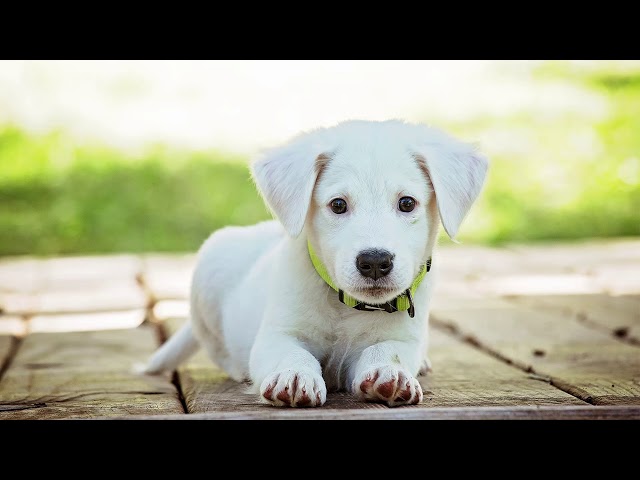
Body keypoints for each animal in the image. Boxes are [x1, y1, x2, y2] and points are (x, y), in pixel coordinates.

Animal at [142, 118, 488, 406]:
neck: (346, 307)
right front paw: (294, 376)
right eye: (338, 205)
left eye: (407, 203)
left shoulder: (403, 338)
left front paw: (390, 373)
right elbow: (292, 353)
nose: (375, 261)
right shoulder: (277, 335)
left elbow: (387, 350)